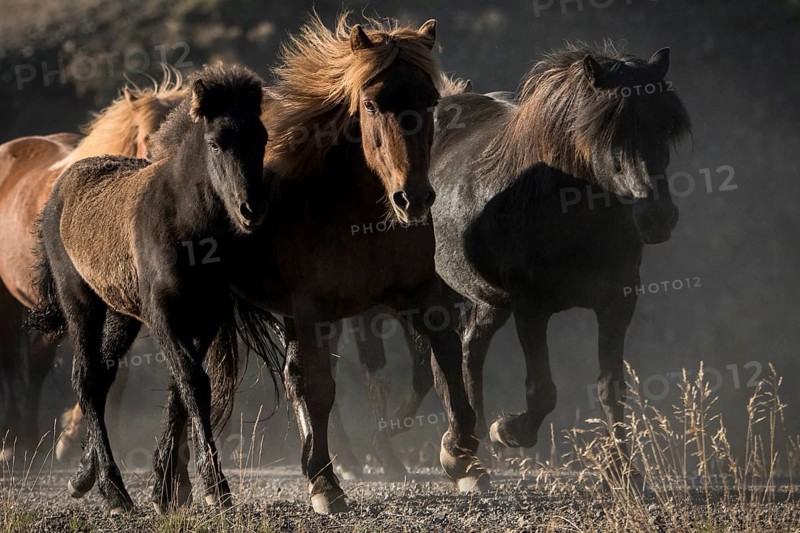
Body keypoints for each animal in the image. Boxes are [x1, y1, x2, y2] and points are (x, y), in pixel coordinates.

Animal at [27, 64, 269, 515]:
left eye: (261, 138)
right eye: (216, 142)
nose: (252, 210)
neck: (186, 225)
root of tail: (61, 187)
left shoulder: (207, 317)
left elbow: (181, 390)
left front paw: (165, 489)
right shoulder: (165, 317)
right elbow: (193, 384)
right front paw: (216, 489)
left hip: (123, 314)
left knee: (102, 377)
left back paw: (85, 477)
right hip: (80, 302)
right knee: (87, 377)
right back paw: (113, 491)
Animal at [222, 14, 488, 514]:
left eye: (431, 101)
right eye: (370, 103)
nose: (413, 199)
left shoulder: (420, 296)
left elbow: (444, 364)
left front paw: (460, 456)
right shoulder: (314, 311)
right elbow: (321, 387)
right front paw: (325, 484)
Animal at [329, 43, 691, 475]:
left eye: (666, 128)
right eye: (608, 129)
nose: (657, 217)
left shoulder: (618, 301)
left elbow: (611, 387)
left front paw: (625, 472)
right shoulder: (530, 306)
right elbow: (542, 390)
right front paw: (508, 431)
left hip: (485, 299)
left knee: (467, 350)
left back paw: (467, 448)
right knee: (436, 363)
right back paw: (451, 449)